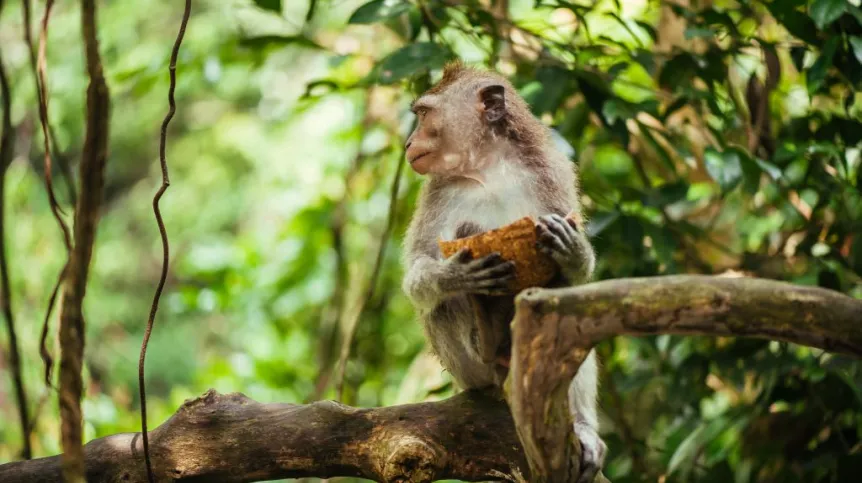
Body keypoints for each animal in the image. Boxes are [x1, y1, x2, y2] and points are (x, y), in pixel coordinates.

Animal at [404, 62, 608, 482]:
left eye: (424, 114)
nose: (408, 143)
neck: (488, 168)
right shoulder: (436, 192)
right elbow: (416, 274)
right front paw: (454, 275)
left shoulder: (551, 171)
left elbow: (580, 275)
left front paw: (573, 251)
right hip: (467, 373)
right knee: (445, 305)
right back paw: (485, 341)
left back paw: (582, 427)